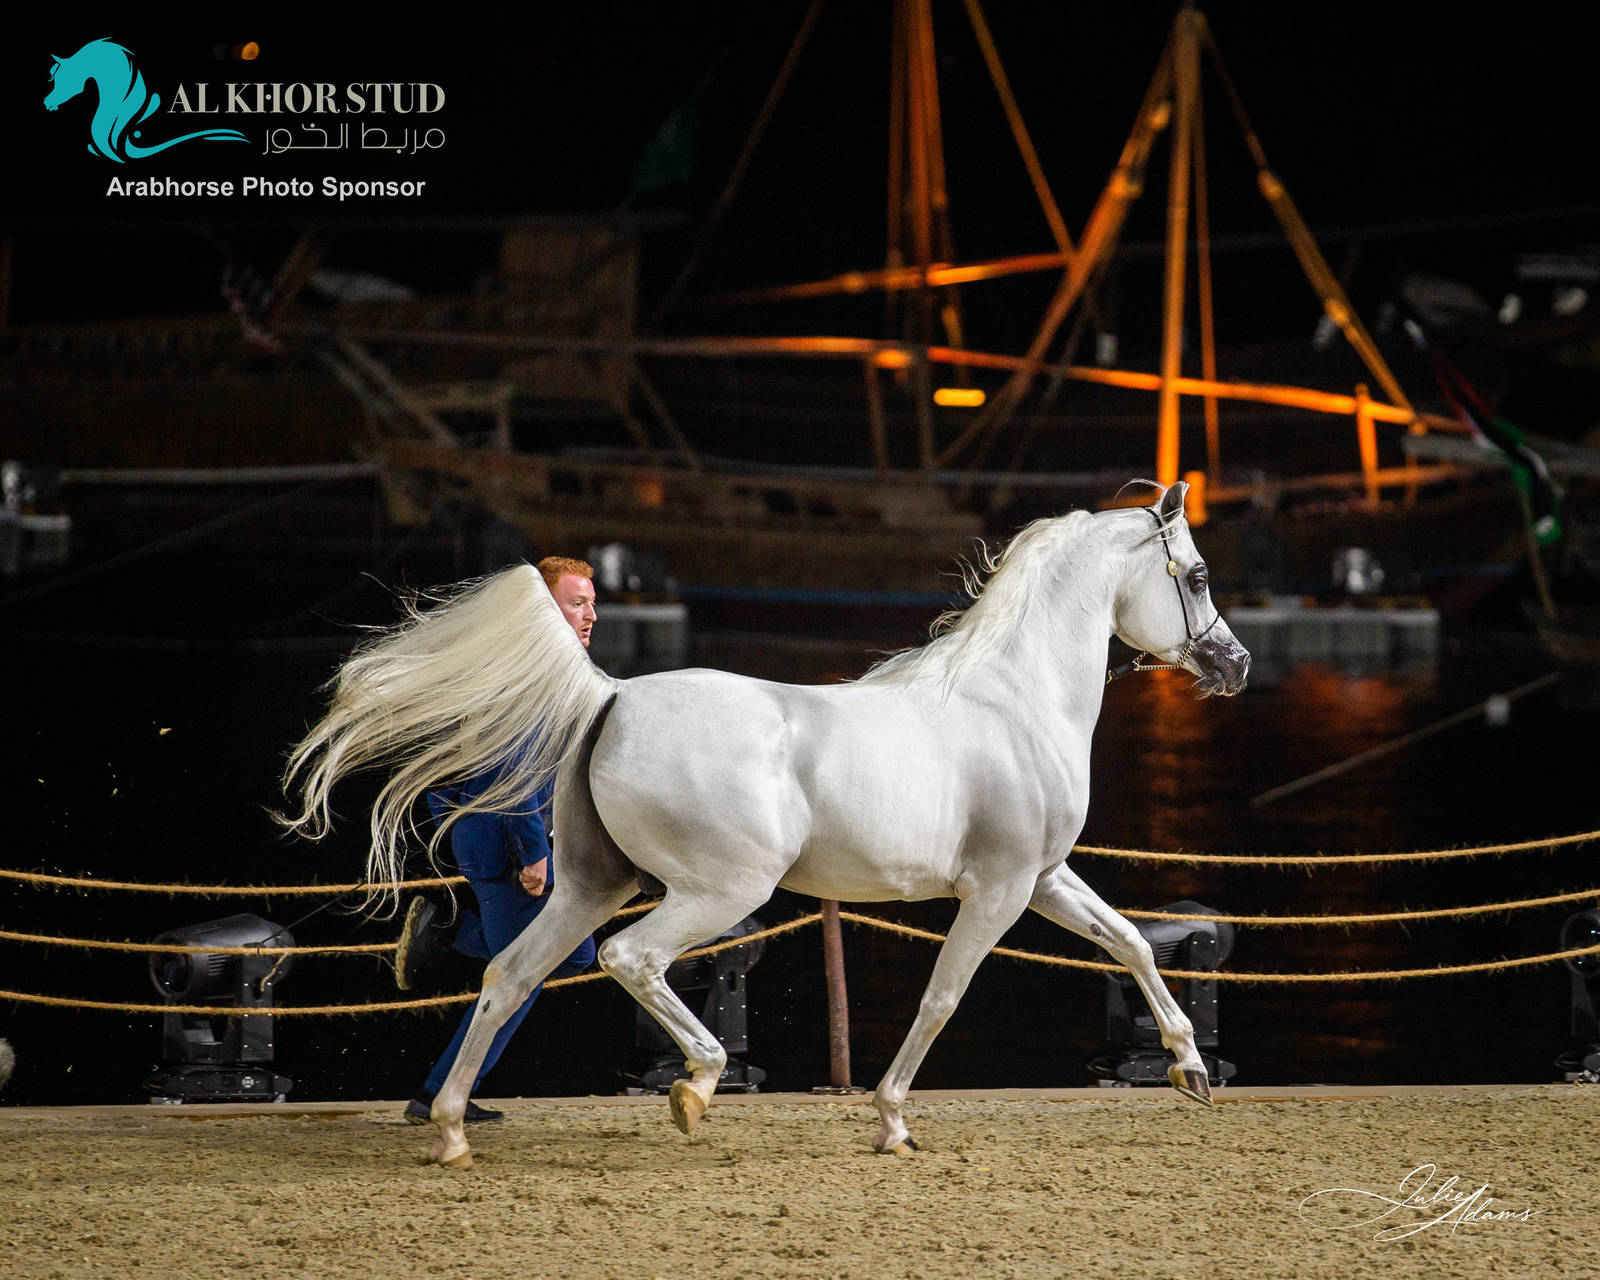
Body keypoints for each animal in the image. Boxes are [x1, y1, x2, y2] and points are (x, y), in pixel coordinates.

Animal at [282, 481, 1250, 1167]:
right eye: (1198, 576)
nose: (1233, 664)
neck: (1014, 700)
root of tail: (612, 697)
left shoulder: (1046, 877)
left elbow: (1131, 941)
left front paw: (1191, 1071)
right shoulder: (1000, 889)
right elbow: (942, 998)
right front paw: (892, 1121)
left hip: (590, 886)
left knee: (509, 976)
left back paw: (451, 1131)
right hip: (714, 891)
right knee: (630, 959)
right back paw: (695, 1086)